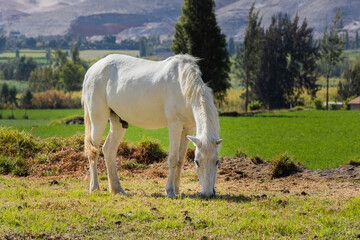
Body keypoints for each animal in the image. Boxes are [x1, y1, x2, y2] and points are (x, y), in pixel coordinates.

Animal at [82, 54, 222, 199]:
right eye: (197, 162)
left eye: (217, 161)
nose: (208, 194)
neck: (184, 88)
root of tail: (92, 70)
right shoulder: (175, 125)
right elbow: (173, 159)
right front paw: (170, 192)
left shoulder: (188, 128)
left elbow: (181, 160)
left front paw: (177, 190)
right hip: (98, 120)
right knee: (93, 151)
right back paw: (95, 187)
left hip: (118, 122)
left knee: (108, 149)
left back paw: (117, 189)